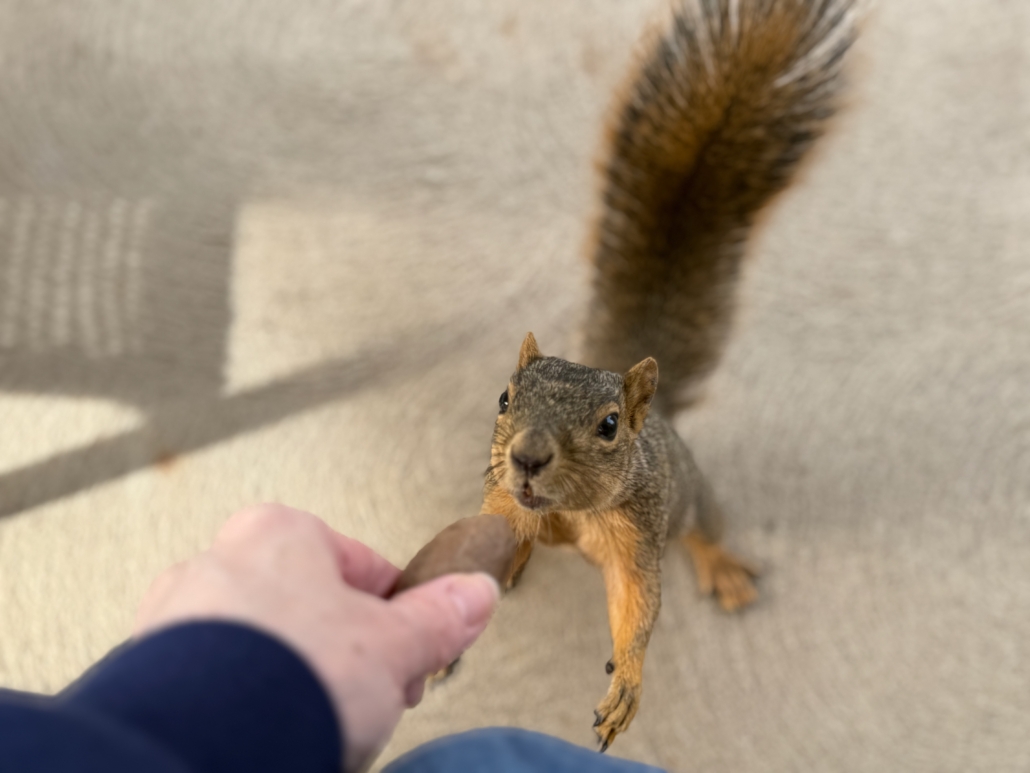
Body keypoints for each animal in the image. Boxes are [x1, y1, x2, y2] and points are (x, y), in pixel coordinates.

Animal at [480, 0, 857, 753]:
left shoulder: (638, 534)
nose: (526, 457)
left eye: (608, 426)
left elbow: (637, 602)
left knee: (706, 529)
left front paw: (626, 684)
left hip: (699, 496)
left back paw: (724, 569)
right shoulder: (503, 500)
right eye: (504, 395)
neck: (566, 514)